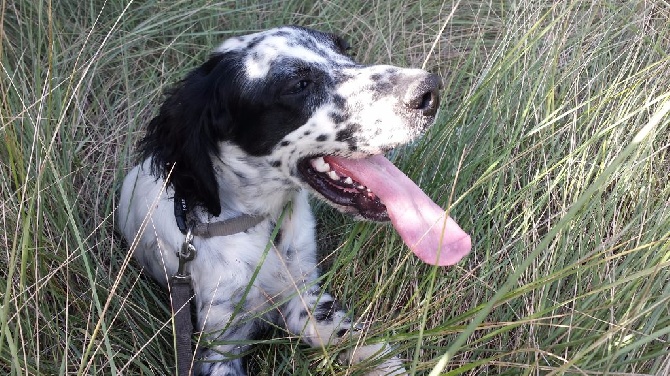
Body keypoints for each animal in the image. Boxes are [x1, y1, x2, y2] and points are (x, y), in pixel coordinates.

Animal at [117, 25, 472, 374]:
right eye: (299, 85)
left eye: (344, 51)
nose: (430, 90)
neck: (263, 224)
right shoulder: (219, 343)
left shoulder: (307, 298)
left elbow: (360, 342)